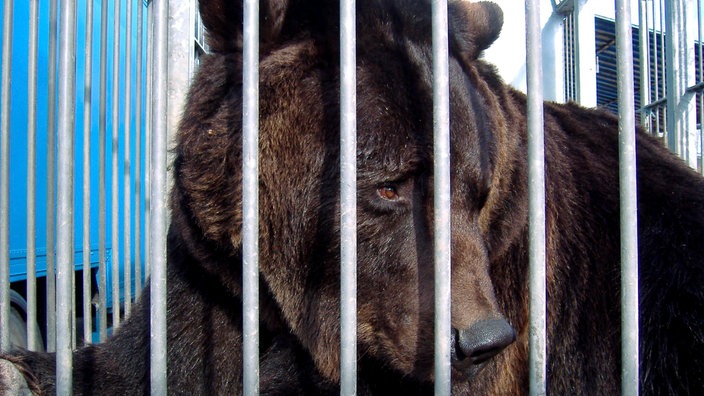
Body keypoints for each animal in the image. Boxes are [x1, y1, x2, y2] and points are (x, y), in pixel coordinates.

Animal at [1, 0, 704, 392]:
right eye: (389, 185)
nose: (481, 339)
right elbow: (136, 362)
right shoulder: (211, 277)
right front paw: (22, 363)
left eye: (475, 191)